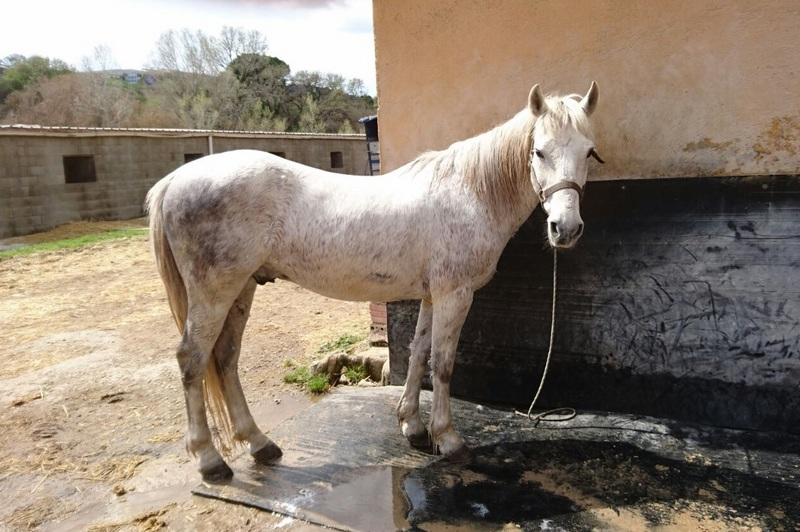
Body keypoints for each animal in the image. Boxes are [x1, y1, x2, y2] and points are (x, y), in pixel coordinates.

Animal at [145, 82, 603, 481]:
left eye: (590, 152)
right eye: (539, 151)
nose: (565, 229)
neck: (471, 191)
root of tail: (175, 180)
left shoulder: (432, 296)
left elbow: (418, 354)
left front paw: (412, 426)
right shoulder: (454, 295)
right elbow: (443, 364)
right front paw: (448, 438)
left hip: (241, 288)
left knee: (225, 357)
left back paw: (260, 445)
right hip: (214, 292)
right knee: (192, 360)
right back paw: (210, 460)